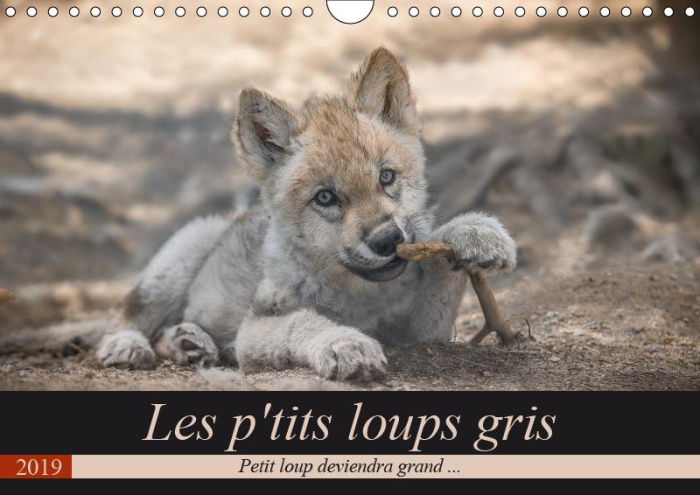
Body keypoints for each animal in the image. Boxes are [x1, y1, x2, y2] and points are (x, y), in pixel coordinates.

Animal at [95, 48, 517, 380]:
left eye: (386, 177)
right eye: (326, 197)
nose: (387, 240)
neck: (360, 295)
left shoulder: (422, 333)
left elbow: (440, 255)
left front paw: (477, 233)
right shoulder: (254, 330)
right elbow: (306, 321)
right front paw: (345, 343)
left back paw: (190, 342)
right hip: (174, 266)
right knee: (126, 316)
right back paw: (128, 346)